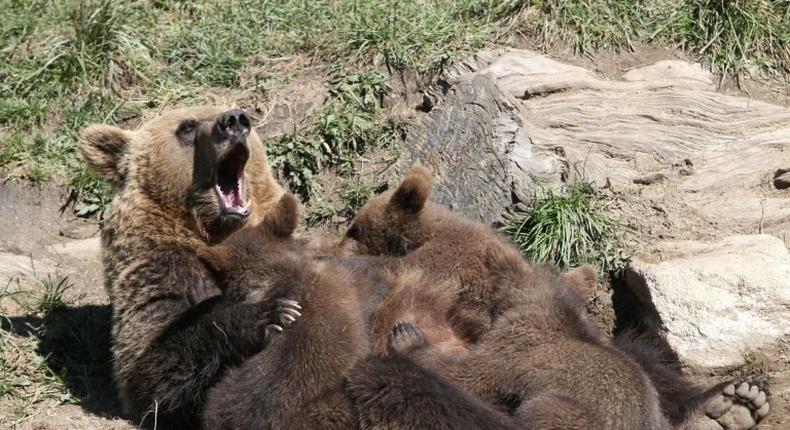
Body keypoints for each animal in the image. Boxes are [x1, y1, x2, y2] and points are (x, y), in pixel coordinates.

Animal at [81, 106, 296, 426]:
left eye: (245, 117)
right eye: (187, 126)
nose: (234, 121)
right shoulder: (163, 268)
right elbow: (150, 371)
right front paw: (271, 315)